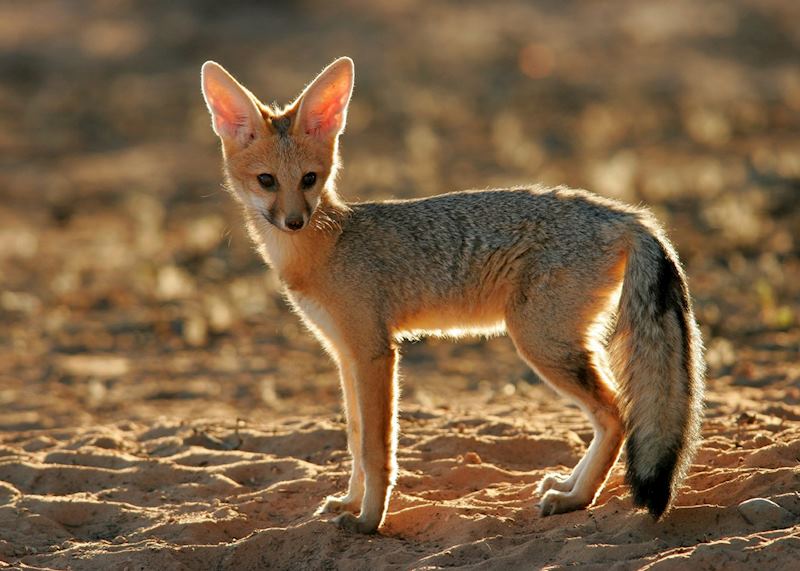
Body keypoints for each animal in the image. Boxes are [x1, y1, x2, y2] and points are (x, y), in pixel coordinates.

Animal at [200, 57, 705, 534]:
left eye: (309, 179)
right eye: (267, 180)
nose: (294, 221)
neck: (326, 246)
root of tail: (626, 215)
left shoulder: (375, 353)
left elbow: (376, 450)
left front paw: (369, 521)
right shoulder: (345, 355)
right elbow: (355, 440)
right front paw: (349, 502)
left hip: (541, 344)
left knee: (617, 414)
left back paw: (576, 499)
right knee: (612, 416)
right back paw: (569, 488)